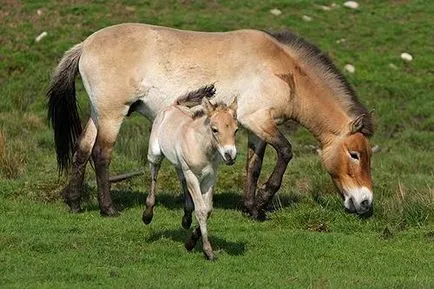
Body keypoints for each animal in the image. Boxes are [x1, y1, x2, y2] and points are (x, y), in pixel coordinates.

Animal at [46, 23, 372, 219]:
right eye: (355, 154)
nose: (366, 203)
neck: (283, 70)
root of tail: (85, 44)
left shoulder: (256, 129)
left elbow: (253, 166)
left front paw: (251, 208)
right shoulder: (259, 120)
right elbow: (286, 152)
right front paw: (263, 201)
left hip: (98, 113)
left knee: (81, 151)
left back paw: (74, 202)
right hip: (113, 115)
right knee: (101, 156)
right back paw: (108, 208)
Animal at [142, 85, 237, 258]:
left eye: (236, 130)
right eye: (214, 129)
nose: (230, 155)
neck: (201, 146)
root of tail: (173, 105)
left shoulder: (210, 178)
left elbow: (208, 209)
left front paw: (190, 242)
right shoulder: (192, 175)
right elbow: (201, 210)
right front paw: (208, 251)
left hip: (179, 165)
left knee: (181, 181)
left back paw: (186, 218)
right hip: (155, 155)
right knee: (154, 175)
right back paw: (147, 214)